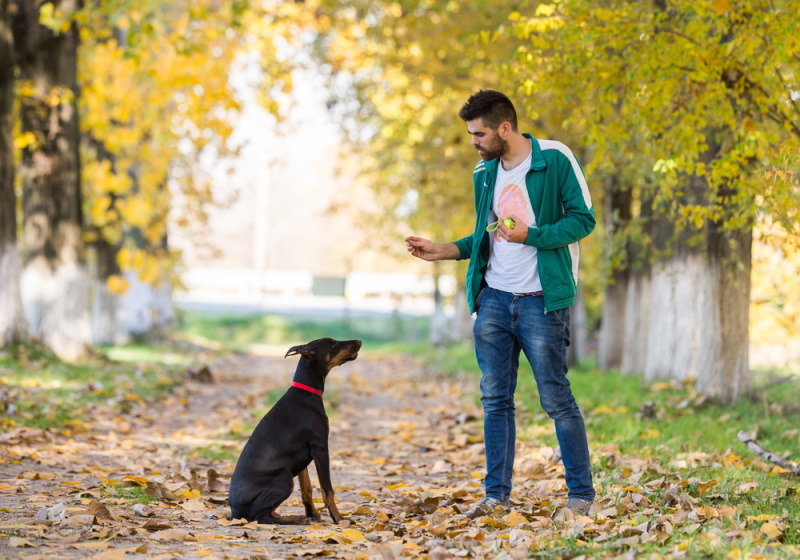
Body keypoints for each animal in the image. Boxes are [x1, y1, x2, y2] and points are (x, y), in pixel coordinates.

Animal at [227, 336, 360, 524]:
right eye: (333, 344)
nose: (359, 341)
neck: (306, 393)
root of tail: (235, 513)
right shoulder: (320, 448)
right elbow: (328, 490)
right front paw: (339, 519)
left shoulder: (304, 457)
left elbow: (307, 489)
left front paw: (313, 514)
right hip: (284, 478)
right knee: (262, 517)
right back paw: (294, 519)